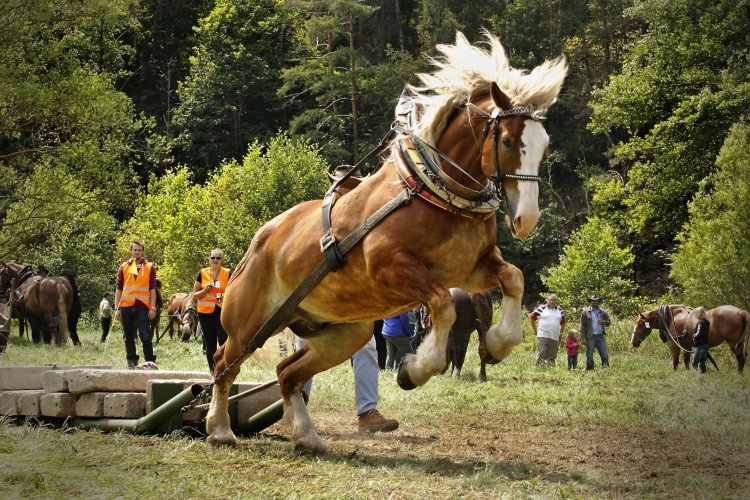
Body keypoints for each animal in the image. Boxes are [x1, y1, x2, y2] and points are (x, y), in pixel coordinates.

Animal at [207, 32, 568, 454]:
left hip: (346, 333)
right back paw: (219, 429)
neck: (432, 192)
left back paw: (306, 435)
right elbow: (443, 306)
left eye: (544, 144)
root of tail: (259, 242)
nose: (527, 219)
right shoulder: (391, 266)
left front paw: (496, 344)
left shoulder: (469, 268)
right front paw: (416, 369)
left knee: (287, 373)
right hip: (248, 326)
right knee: (223, 364)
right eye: (508, 141)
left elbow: (513, 278)